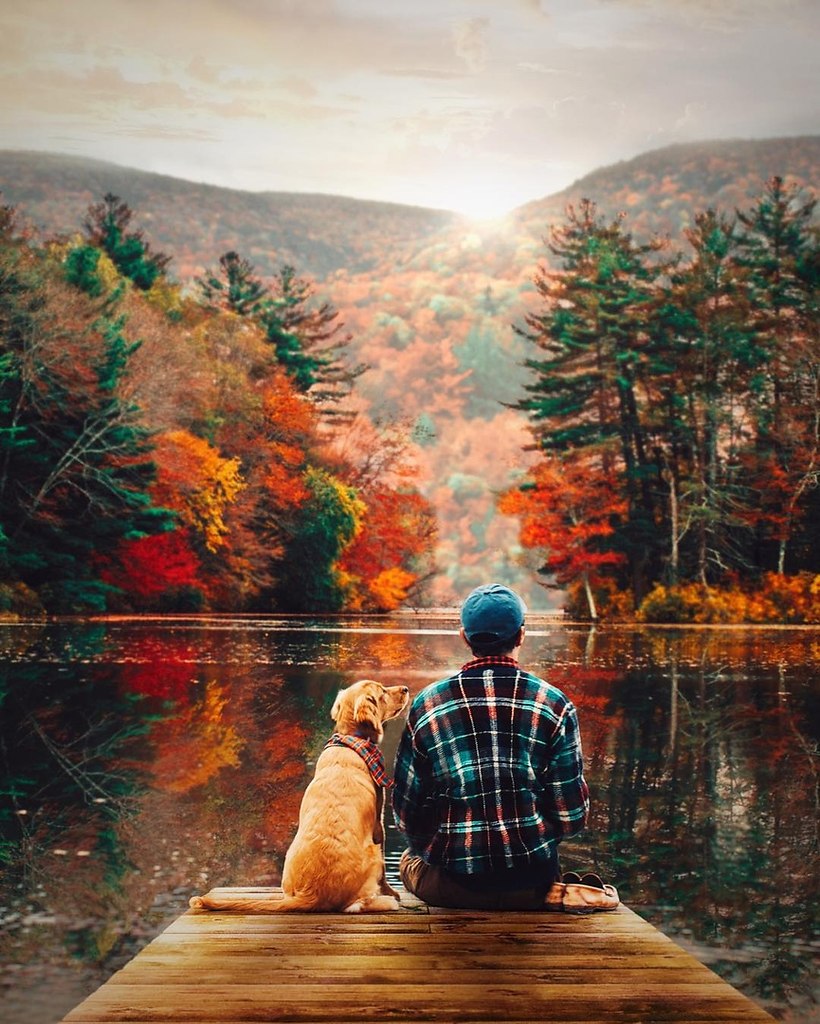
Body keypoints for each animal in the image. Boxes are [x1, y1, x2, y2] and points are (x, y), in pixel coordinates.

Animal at [190, 679, 409, 913]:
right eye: (382, 692)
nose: (405, 689)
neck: (352, 739)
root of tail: (310, 896)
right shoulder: (379, 821)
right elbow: (384, 873)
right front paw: (392, 892)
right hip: (372, 853)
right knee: (355, 904)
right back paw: (386, 902)